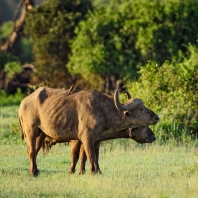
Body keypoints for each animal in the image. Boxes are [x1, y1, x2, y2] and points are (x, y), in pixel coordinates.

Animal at [17, 87, 159, 176]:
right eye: (141, 108)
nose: (157, 117)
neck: (102, 110)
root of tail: (23, 102)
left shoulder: (96, 140)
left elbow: (93, 156)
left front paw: (96, 171)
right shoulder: (85, 138)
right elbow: (87, 155)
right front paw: (90, 172)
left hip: (41, 134)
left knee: (34, 151)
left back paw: (34, 170)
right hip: (31, 131)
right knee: (31, 151)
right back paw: (33, 173)